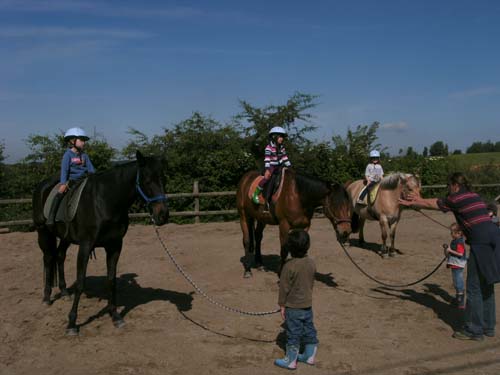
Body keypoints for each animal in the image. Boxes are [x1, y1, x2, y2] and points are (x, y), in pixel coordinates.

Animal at [33, 151, 170, 336]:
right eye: (147, 180)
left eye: (163, 179)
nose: (163, 215)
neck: (105, 201)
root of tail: (42, 186)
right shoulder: (85, 246)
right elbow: (81, 283)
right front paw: (71, 323)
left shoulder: (115, 246)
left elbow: (111, 280)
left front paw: (115, 316)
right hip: (44, 233)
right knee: (48, 259)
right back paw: (47, 297)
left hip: (66, 238)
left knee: (60, 257)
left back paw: (64, 292)